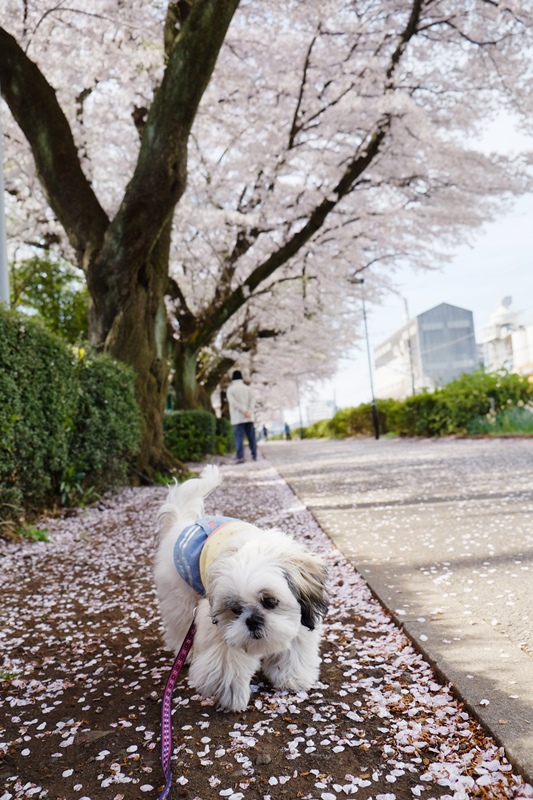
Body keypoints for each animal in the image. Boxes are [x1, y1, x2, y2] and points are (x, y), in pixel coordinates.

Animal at [154, 466, 326, 708]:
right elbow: (227, 659)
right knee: (180, 620)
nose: (253, 620)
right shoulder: (219, 626)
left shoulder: (301, 617)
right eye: (235, 610)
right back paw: (188, 651)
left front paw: (292, 677)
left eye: (270, 601)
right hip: (180, 593)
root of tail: (182, 523)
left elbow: (294, 646)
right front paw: (231, 694)